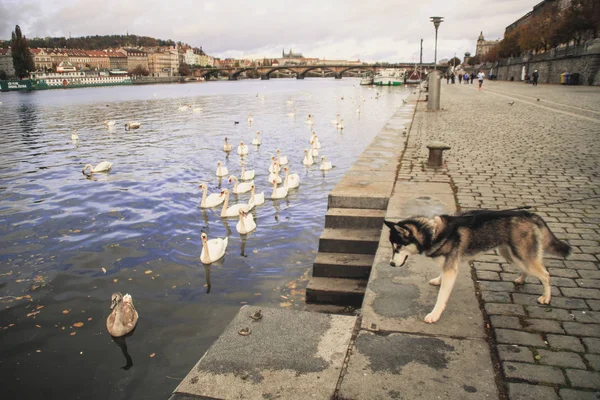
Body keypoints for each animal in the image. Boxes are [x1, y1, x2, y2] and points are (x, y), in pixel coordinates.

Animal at [384, 211, 572, 324]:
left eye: (397, 247)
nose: (391, 264)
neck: (432, 232)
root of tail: (530, 214)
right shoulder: (449, 264)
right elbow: (442, 275)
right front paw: (438, 280)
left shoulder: (451, 268)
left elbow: (441, 297)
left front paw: (434, 314)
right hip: (511, 254)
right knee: (527, 269)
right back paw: (521, 279)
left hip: (522, 255)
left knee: (545, 274)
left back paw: (546, 297)